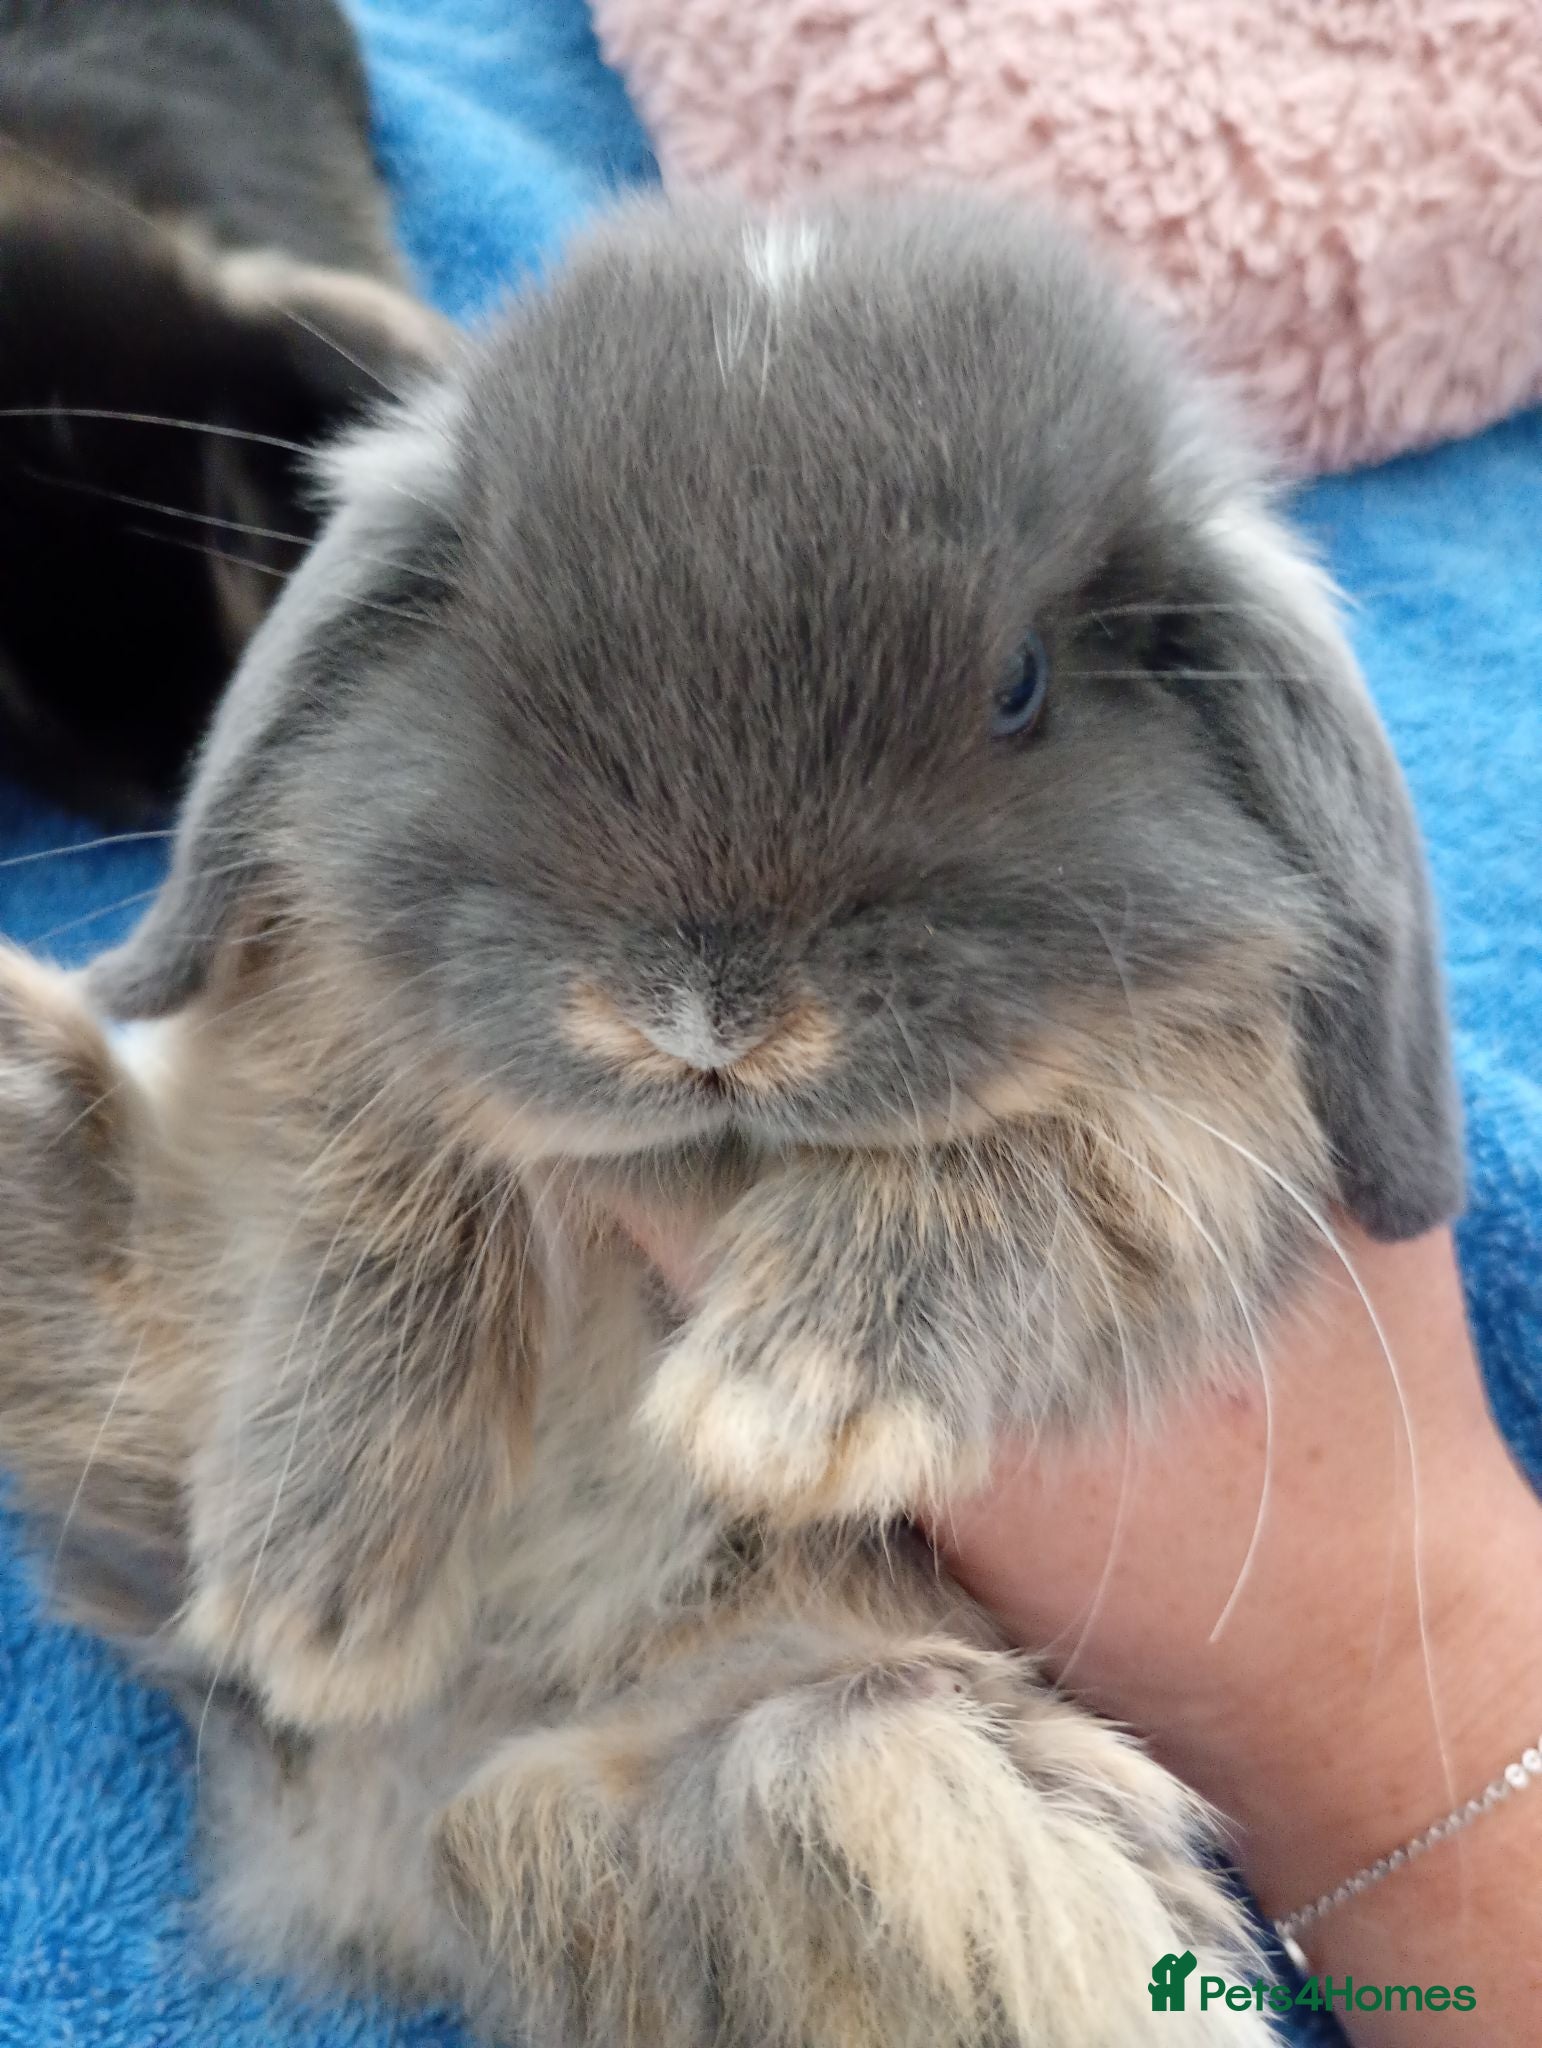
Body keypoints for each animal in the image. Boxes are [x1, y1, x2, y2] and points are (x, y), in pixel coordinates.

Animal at [0, 193, 1462, 2046]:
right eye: (496, 650)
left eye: (1019, 686)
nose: (701, 1012)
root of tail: (390, 1806)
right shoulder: (332, 997)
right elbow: (387, 1178)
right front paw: (306, 1579)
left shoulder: (1205, 1109)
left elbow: (1032, 1168)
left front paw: (791, 1400)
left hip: (876, 1777)